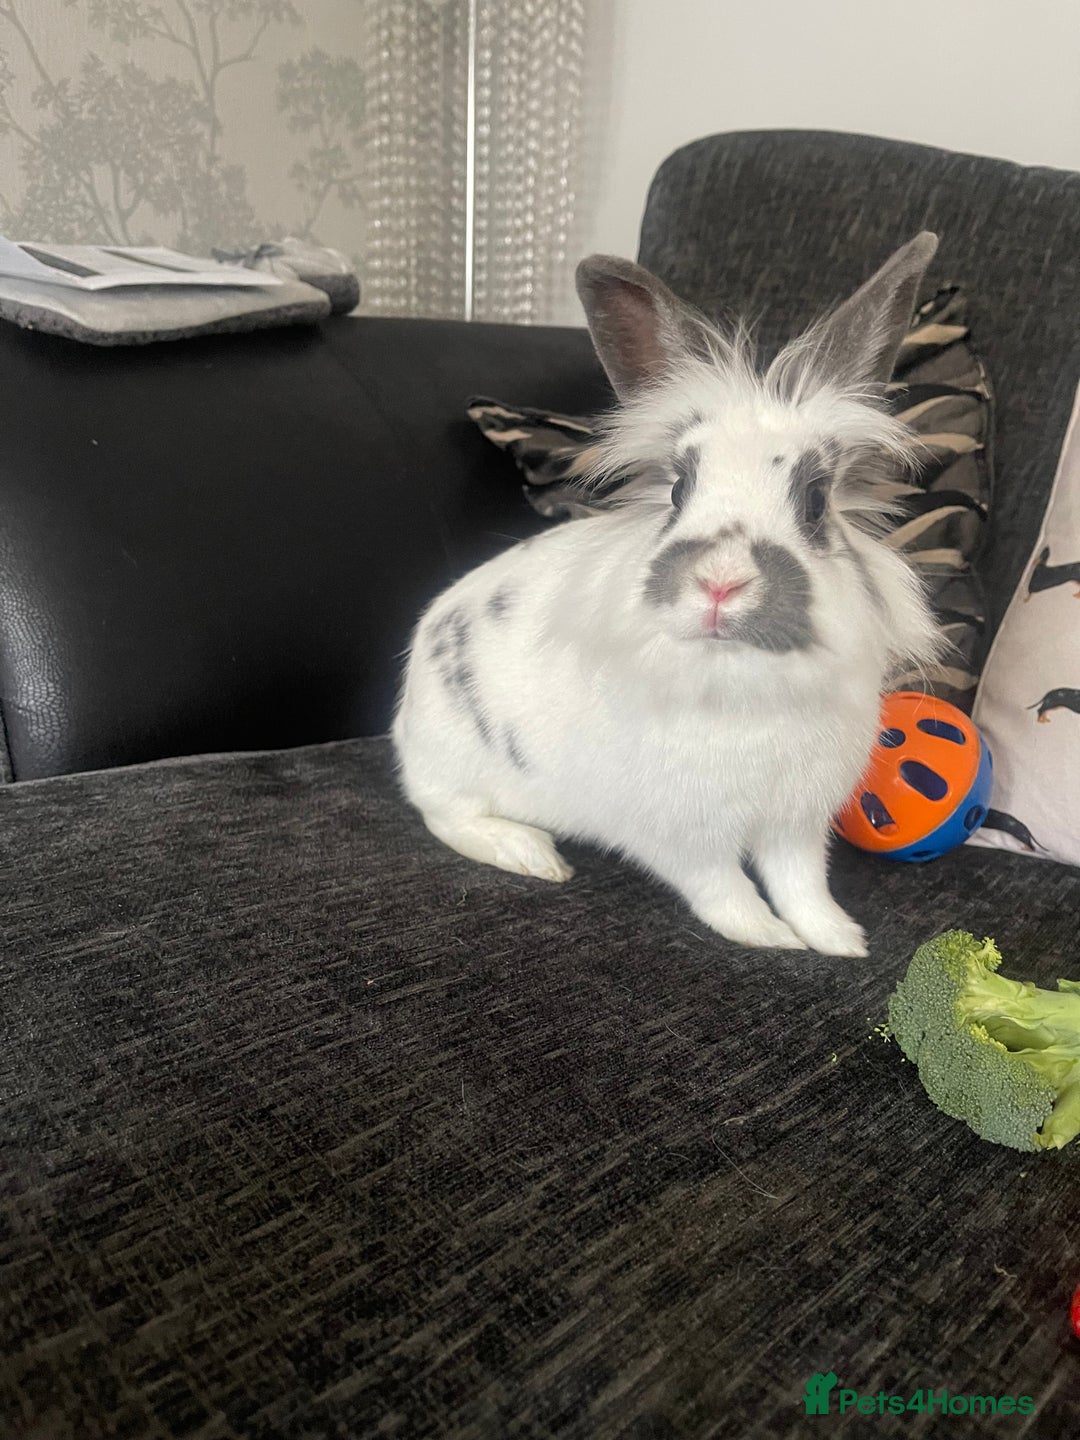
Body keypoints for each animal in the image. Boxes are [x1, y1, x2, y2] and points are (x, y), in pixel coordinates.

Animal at [392, 234, 943, 956]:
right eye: (679, 491)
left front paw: (839, 939)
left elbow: (803, 884)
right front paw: (769, 938)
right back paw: (532, 854)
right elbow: (724, 890)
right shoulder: (683, 838)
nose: (720, 581)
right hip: (453, 761)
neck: (742, 680)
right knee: (444, 815)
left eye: (816, 501)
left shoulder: (796, 825)